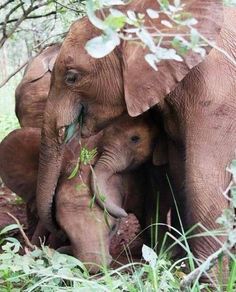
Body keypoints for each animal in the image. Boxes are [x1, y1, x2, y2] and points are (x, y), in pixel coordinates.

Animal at [37, 0, 234, 280]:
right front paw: (176, 262)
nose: (56, 236)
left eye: (72, 77)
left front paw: (207, 281)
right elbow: (178, 176)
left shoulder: (216, 93)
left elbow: (203, 181)